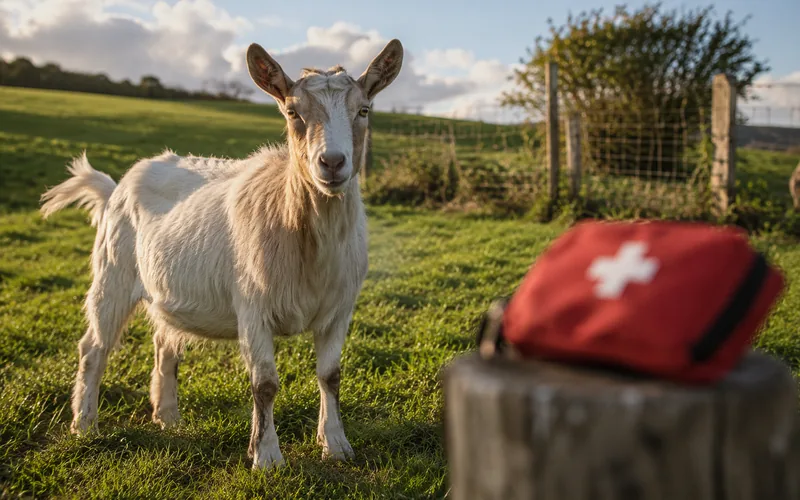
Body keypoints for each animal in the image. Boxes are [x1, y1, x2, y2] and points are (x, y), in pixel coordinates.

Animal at [39, 39, 404, 469]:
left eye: (364, 110)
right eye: (292, 112)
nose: (331, 163)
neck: (312, 247)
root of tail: (117, 185)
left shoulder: (339, 308)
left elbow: (330, 375)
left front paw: (336, 445)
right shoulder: (252, 306)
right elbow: (264, 384)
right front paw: (267, 456)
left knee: (165, 344)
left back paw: (168, 417)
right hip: (111, 274)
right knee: (93, 348)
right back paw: (85, 424)